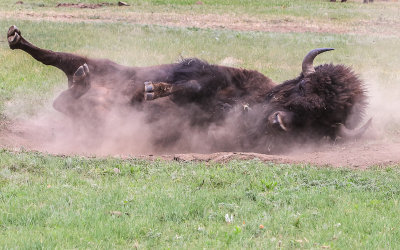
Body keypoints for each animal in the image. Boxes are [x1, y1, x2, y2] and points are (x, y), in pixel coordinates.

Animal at [6, 25, 370, 153]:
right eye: (304, 84)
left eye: (321, 116)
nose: (280, 120)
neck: (251, 101)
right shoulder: (212, 74)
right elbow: (192, 82)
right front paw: (155, 89)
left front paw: (150, 92)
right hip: (103, 63)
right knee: (57, 60)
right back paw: (15, 37)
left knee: (65, 99)